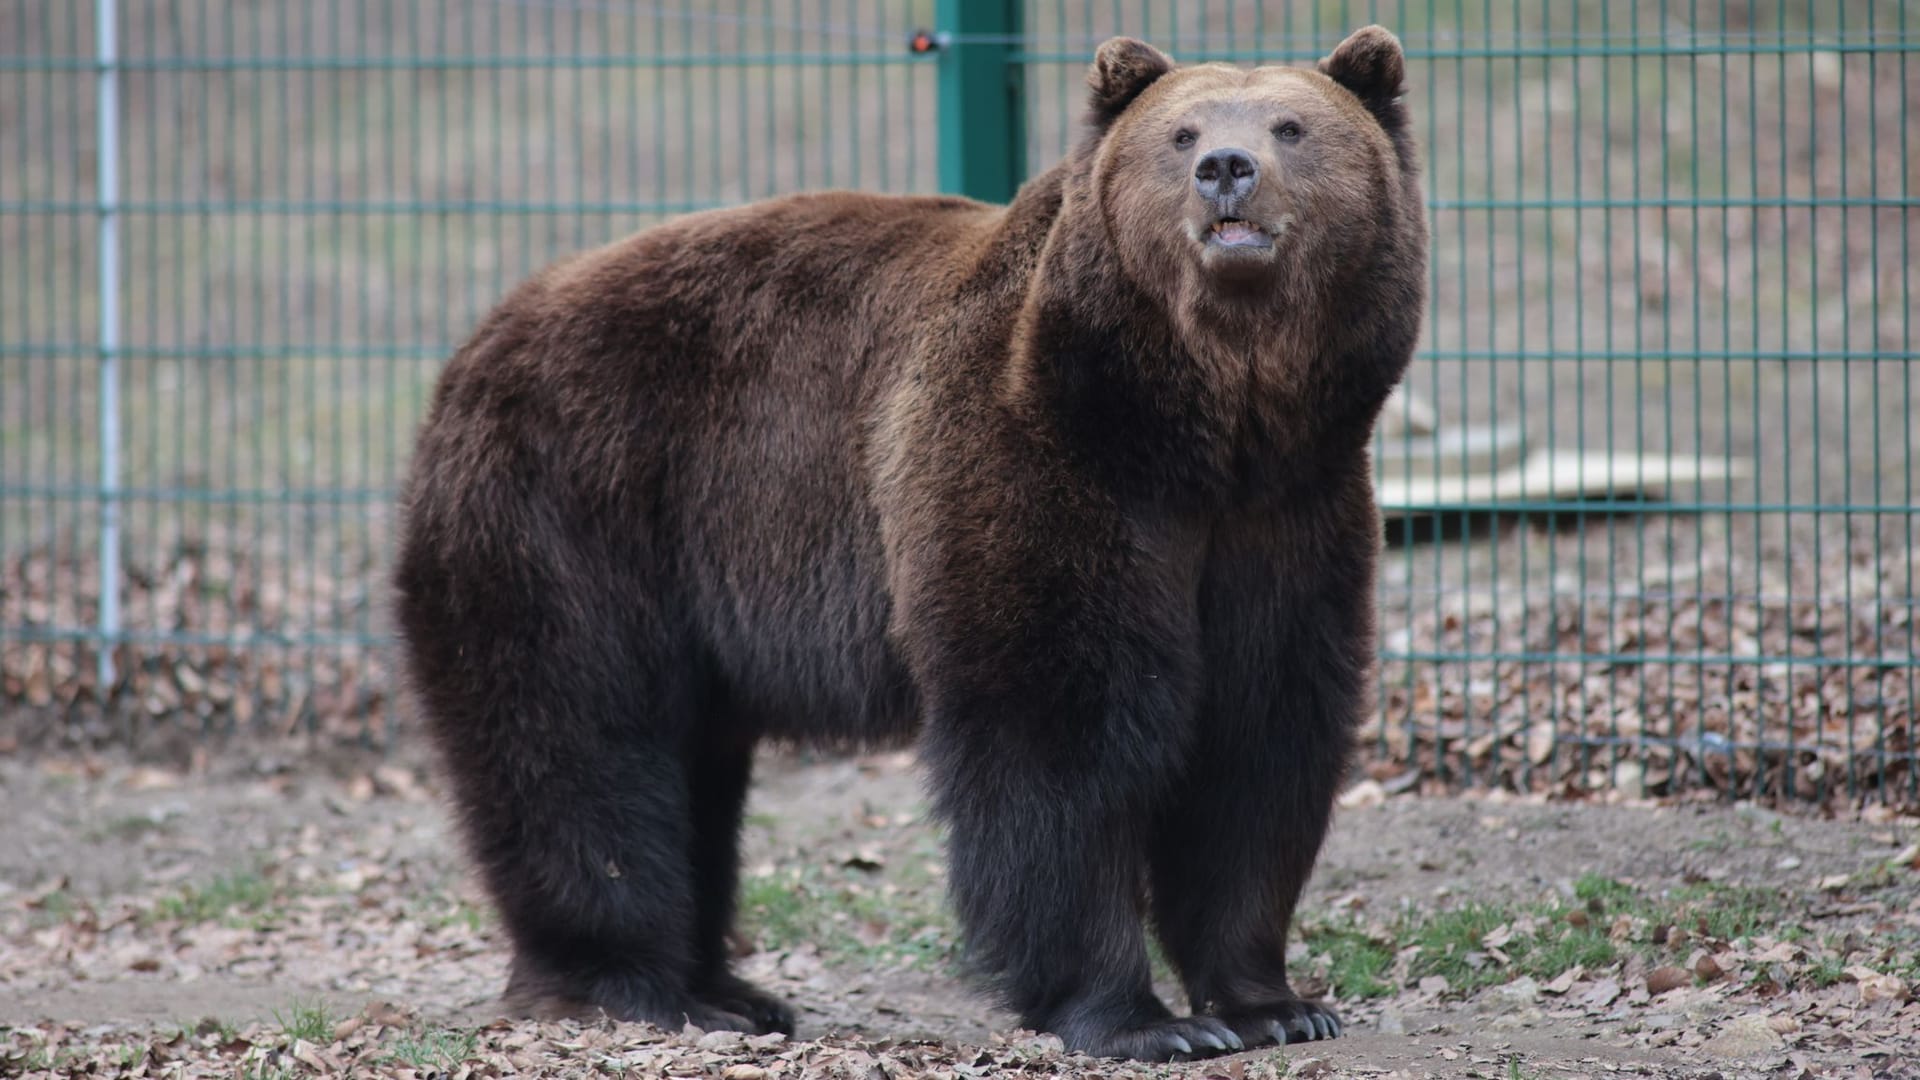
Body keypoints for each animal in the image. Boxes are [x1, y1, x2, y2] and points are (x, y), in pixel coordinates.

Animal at [393, 25, 1428, 1060]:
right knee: (579, 737)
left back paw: (730, 989)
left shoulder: (1287, 515)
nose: (1225, 169)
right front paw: (1140, 1020)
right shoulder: (1037, 463)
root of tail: (481, 337)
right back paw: (633, 985)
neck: (1196, 425)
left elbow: (1261, 737)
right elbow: (1057, 734)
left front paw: (1275, 1002)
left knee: (695, 768)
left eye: (1290, 126)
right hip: (579, 505)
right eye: (1180, 134)